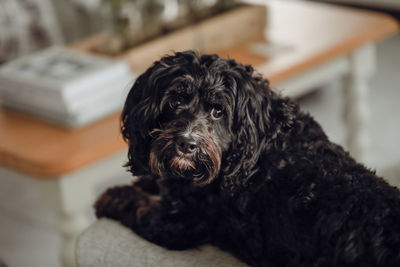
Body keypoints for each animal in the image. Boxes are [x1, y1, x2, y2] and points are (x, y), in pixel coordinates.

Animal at [94, 51, 400, 266]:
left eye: (218, 111)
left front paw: (111, 196)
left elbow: (136, 207)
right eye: (175, 101)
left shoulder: (180, 224)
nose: (186, 144)